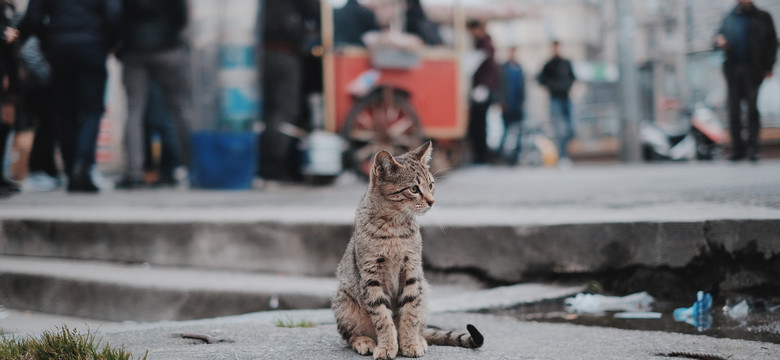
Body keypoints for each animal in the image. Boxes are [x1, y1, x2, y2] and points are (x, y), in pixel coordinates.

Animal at [332, 142, 484, 358]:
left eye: (431, 185)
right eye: (414, 188)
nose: (432, 201)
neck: (394, 227)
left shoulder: (412, 271)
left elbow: (411, 314)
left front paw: (410, 343)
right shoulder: (371, 277)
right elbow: (382, 318)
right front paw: (387, 346)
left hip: (424, 292)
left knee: (421, 324)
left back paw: (419, 339)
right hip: (344, 302)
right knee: (349, 334)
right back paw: (364, 341)